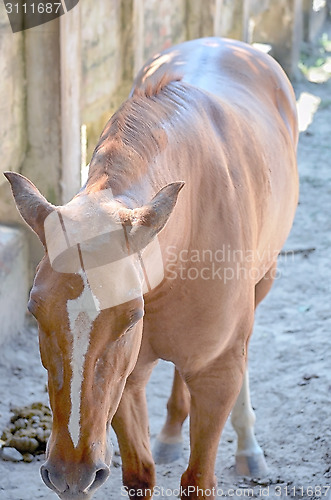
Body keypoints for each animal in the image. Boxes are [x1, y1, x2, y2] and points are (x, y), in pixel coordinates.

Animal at [4, 37, 300, 498]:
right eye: (34, 310)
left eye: (131, 317)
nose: (70, 473)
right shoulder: (127, 380)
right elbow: (140, 473)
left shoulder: (217, 375)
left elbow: (199, 479)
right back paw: (171, 433)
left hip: (262, 285)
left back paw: (248, 446)